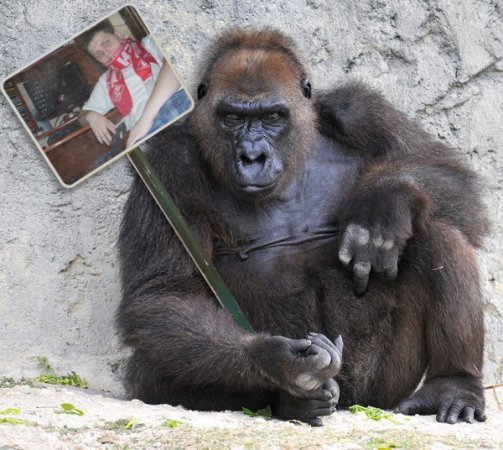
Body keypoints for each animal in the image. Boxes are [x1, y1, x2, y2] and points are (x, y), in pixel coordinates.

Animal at [117, 28, 489, 426]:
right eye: (231, 117)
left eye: (273, 116)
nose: (252, 156)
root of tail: (351, 402)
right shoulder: (169, 163)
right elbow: (163, 294)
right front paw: (274, 360)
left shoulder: (360, 111)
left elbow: (459, 189)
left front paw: (383, 202)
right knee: (153, 367)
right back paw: (295, 399)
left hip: (385, 387)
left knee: (436, 233)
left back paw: (453, 384)